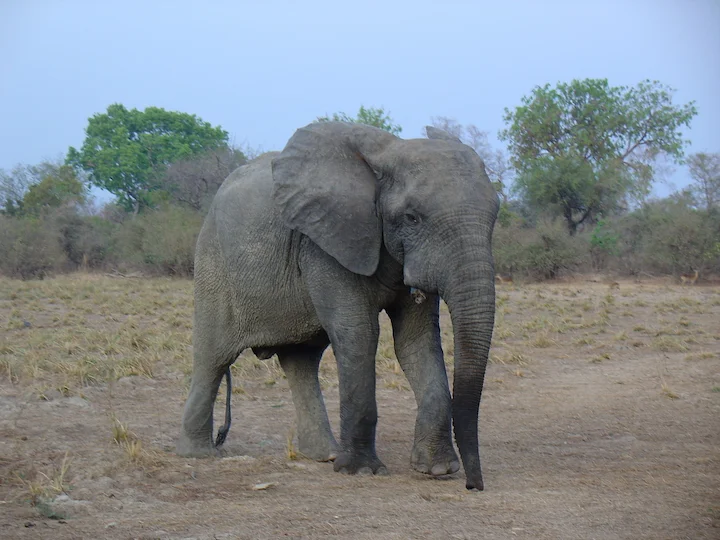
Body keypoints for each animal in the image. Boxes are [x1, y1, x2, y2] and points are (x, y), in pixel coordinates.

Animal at [176, 120, 499, 491]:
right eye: (412, 218)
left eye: (495, 215)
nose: (474, 485)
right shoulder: (323, 242)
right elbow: (359, 333)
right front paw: (362, 472)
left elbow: (416, 341)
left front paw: (437, 470)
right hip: (213, 266)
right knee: (213, 358)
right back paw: (198, 454)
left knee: (301, 362)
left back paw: (324, 455)